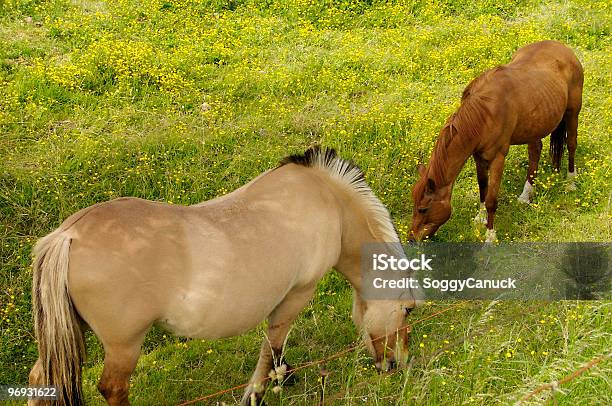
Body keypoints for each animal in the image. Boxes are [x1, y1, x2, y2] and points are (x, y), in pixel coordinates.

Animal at [29, 147, 420, 406]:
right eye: (408, 310)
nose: (397, 364)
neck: (329, 203)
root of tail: (68, 235)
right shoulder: (297, 294)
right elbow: (272, 346)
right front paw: (258, 393)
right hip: (123, 346)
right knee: (113, 388)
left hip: (69, 332)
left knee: (41, 378)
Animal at [408, 40, 580, 241]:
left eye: (423, 209)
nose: (411, 238)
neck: (484, 114)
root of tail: (563, 47)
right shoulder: (478, 156)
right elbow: (483, 187)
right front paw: (480, 218)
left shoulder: (498, 157)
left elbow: (491, 198)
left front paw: (490, 235)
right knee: (535, 151)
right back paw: (525, 195)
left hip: (572, 113)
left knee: (571, 145)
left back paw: (571, 183)